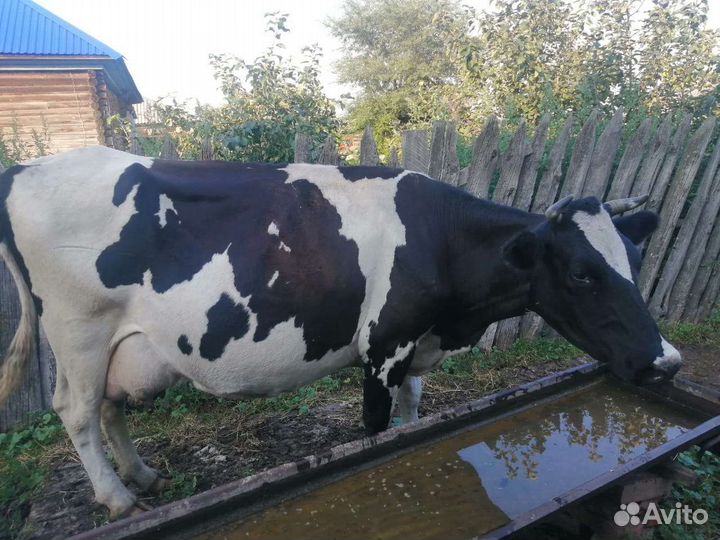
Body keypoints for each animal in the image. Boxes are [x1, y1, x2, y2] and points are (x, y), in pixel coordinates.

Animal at [0, 146, 680, 518]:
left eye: (635, 259)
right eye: (582, 273)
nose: (666, 362)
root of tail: (26, 168)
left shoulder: (415, 347)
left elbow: (413, 413)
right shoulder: (383, 348)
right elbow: (377, 430)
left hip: (115, 340)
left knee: (108, 406)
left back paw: (141, 476)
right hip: (79, 328)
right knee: (78, 410)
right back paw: (117, 498)